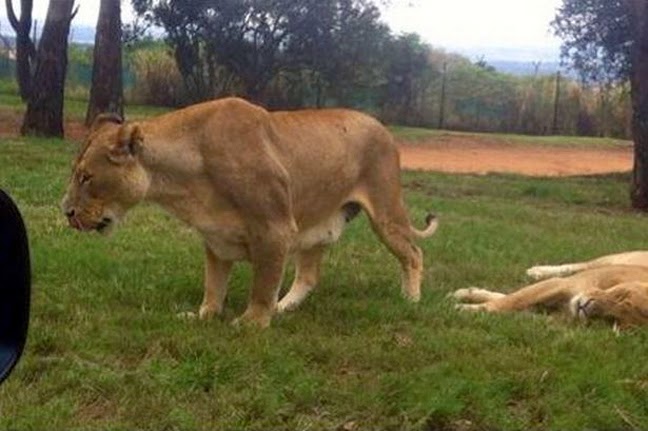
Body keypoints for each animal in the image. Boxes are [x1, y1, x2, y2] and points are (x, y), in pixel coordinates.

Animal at [62, 97, 436, 328]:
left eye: (86, 177)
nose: (65, 211)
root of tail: (382, 126)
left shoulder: (276, 228)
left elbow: (263, 282)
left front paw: (252, 323)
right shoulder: (214, 236)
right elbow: (213, 284)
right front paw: (204, 316)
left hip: (386, 211)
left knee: (413, 253)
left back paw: (411, 300)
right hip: (318, 227)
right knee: (308, 276)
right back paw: (284, 307)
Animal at [454, 251, 648, 330]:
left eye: (611, 320)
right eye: (621, 295)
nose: (585, 306)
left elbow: (511, 305)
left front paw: (467, 299)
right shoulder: (561, 284)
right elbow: (511, 300)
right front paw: (464, 307)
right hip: (615, 259)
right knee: (578, 265)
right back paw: (535, 271)